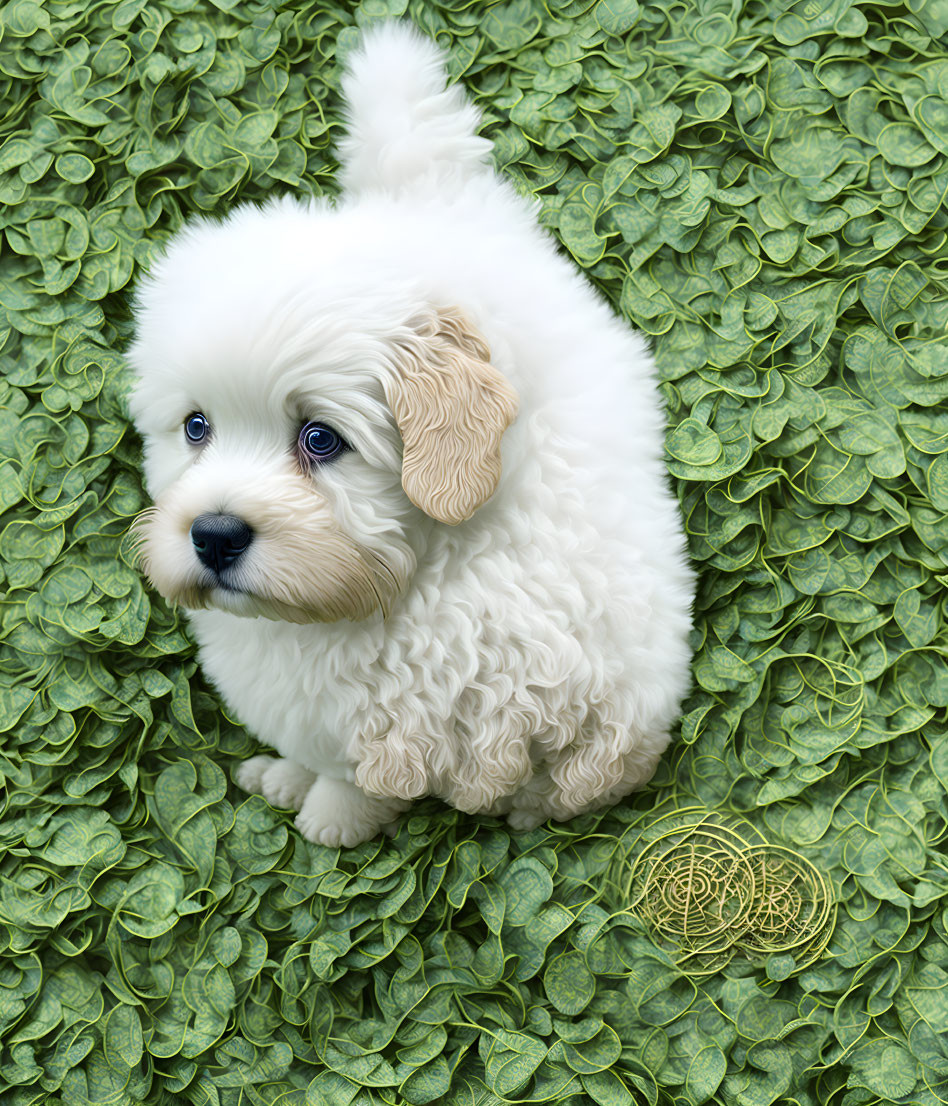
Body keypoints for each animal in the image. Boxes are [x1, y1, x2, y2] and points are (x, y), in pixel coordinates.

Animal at [125, 21, 690, 844]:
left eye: (321, 440)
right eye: (196, 427)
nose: (214, 535)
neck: (417, 573)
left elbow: (355, 778)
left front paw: (330, 822)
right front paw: (288, 780)